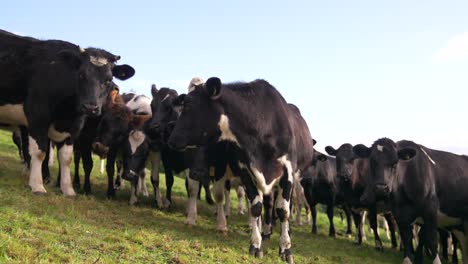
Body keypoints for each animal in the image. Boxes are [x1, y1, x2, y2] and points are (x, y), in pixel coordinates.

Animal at [0, 29, 135, 196]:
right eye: (81, 74)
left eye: (108, 79)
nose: (90, 107)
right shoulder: (37, 115)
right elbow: (40, 152)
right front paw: (37, 185)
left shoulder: (74, 127)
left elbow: (66, 158)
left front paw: (67, 189)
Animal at [166, 76, 312, 262]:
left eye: (189, 106)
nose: (171, 139)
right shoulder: (246, 169)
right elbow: (256, 207)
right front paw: (256, 245)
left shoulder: (288, 172)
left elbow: (283, 210)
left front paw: (285, 249)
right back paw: (262, 232)